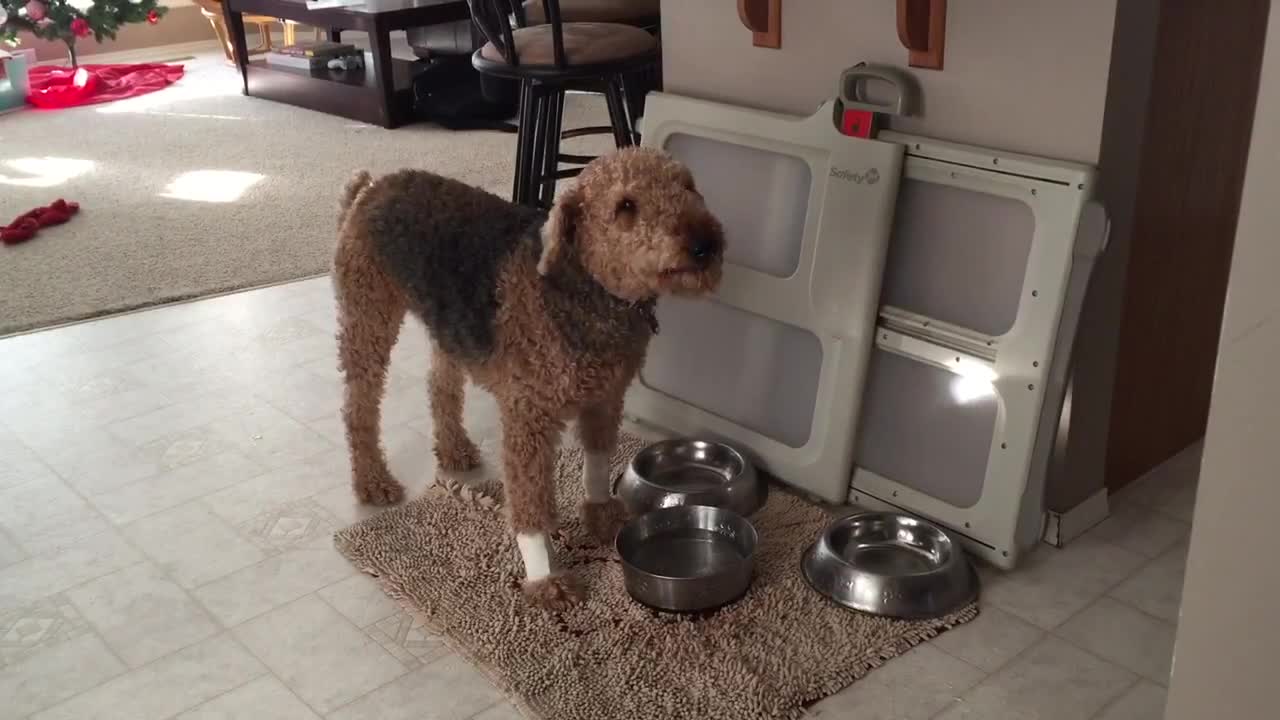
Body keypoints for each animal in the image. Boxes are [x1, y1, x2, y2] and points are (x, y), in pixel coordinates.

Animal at [330, 148, 727, 607]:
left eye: (687, 185)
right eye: (626, 205)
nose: (705, 244)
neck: (587, 290)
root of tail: (370, 187)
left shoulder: (605, 399)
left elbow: (597, 462)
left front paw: (602, 516)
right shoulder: (529, 416)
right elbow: (531, 501)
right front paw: (545, 578)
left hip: (448, 329)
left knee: (439, 386)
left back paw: (454, 449)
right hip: (368, 319)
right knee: (357, 408)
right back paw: (373, 481)